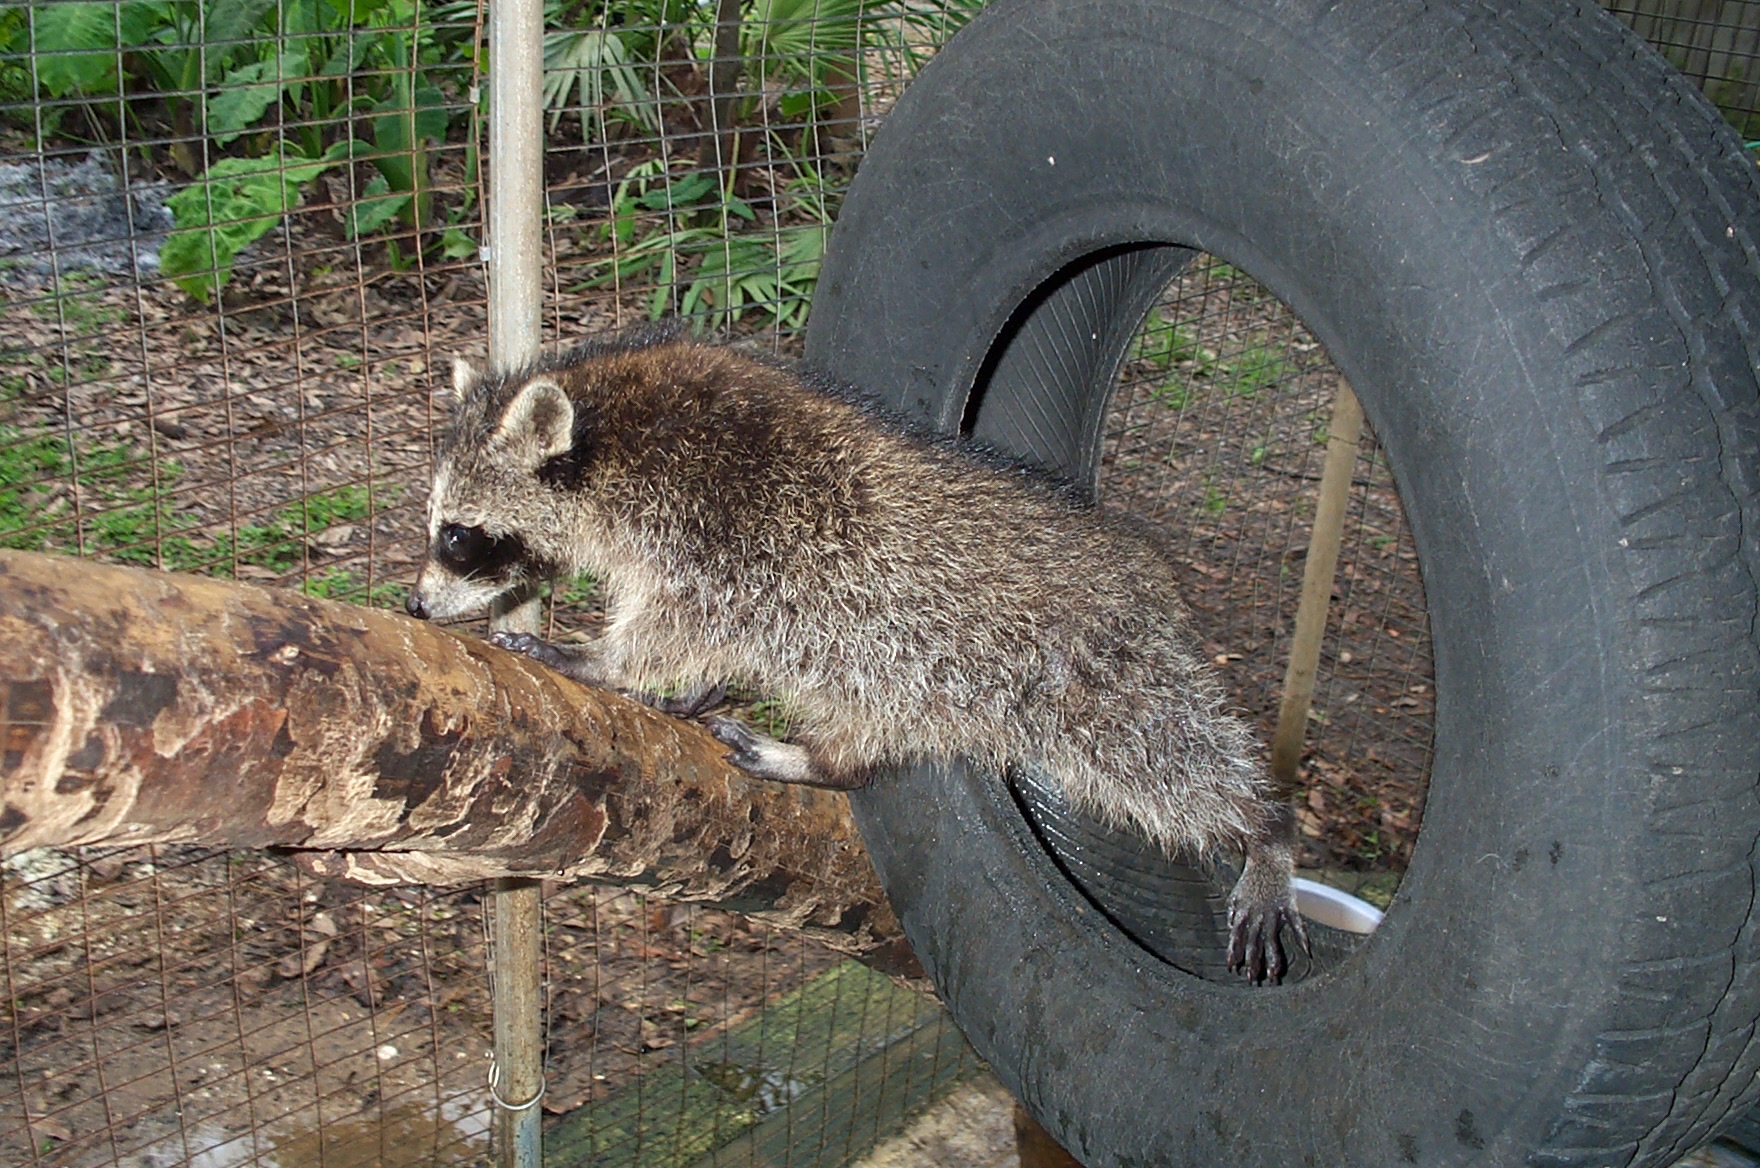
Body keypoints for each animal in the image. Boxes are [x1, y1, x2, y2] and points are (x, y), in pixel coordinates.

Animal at [405, 329, 1309, 982]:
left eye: (457, 536)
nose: (414, 604)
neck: (611, 433)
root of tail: (1155, 588)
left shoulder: (715, 526)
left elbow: (677, 622)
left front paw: (600, 658)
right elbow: (720, 640)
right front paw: (693, 688)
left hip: (1093, 678)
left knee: (1167, 759)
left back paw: (1263, 827)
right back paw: (825, 757)